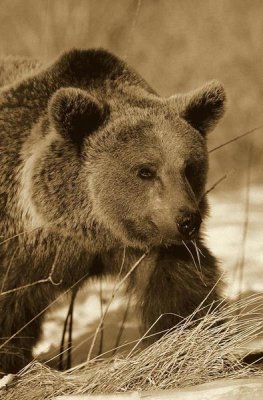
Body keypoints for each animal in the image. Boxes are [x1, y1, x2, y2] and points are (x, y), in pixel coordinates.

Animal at [0, 48, 227, 374]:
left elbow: (182, 295)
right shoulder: (24, 246)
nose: (187, 221)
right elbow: (11, 309)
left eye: (189, 167)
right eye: (145, 170)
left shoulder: (157, 248)